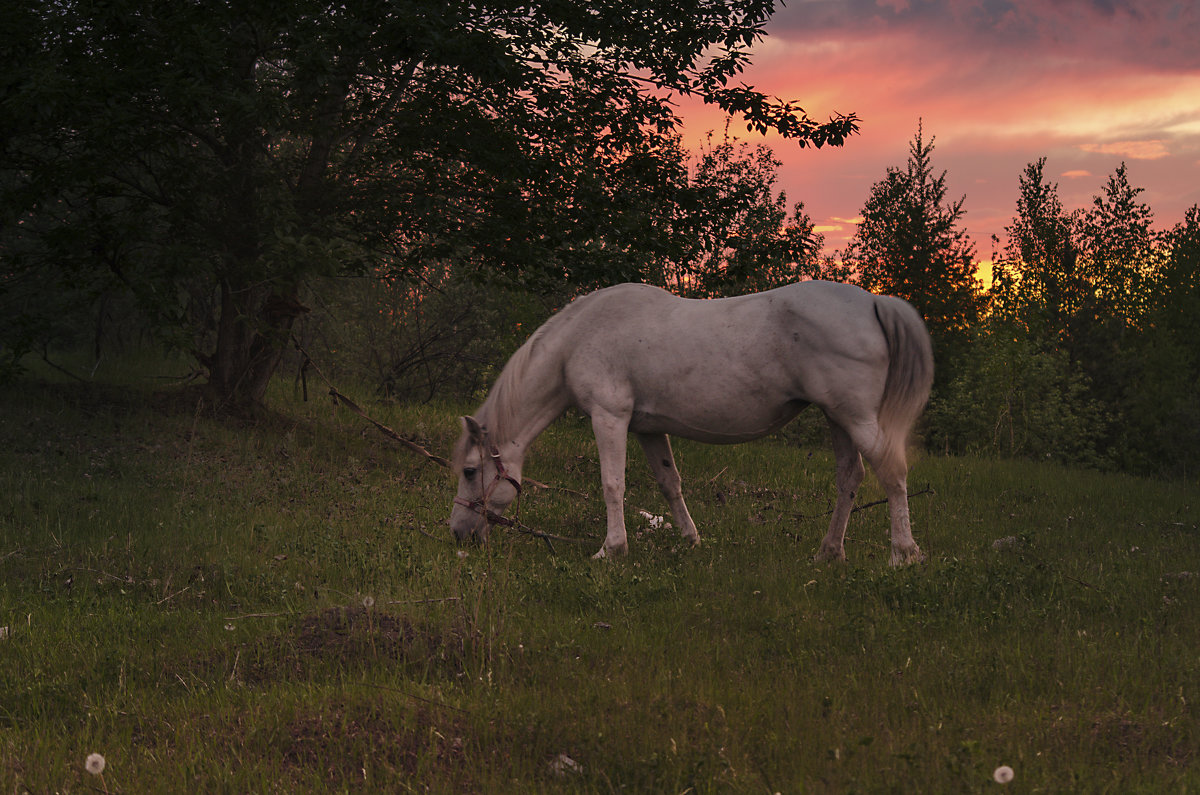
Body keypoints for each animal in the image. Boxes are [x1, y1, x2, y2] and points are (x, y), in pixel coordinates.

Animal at [451, 279, 936, 566]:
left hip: (856, 418)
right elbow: (670, 483)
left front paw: (611, 549)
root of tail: (874, 301)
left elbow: (612, 484)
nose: (459, 534)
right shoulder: (647, 428)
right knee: (849, 478)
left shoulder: (610, 417)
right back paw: (828, 553)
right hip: (837, 419)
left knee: (891, 472)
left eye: (470, 471)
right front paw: (691, 540)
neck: (579, 339)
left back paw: (903, 554)